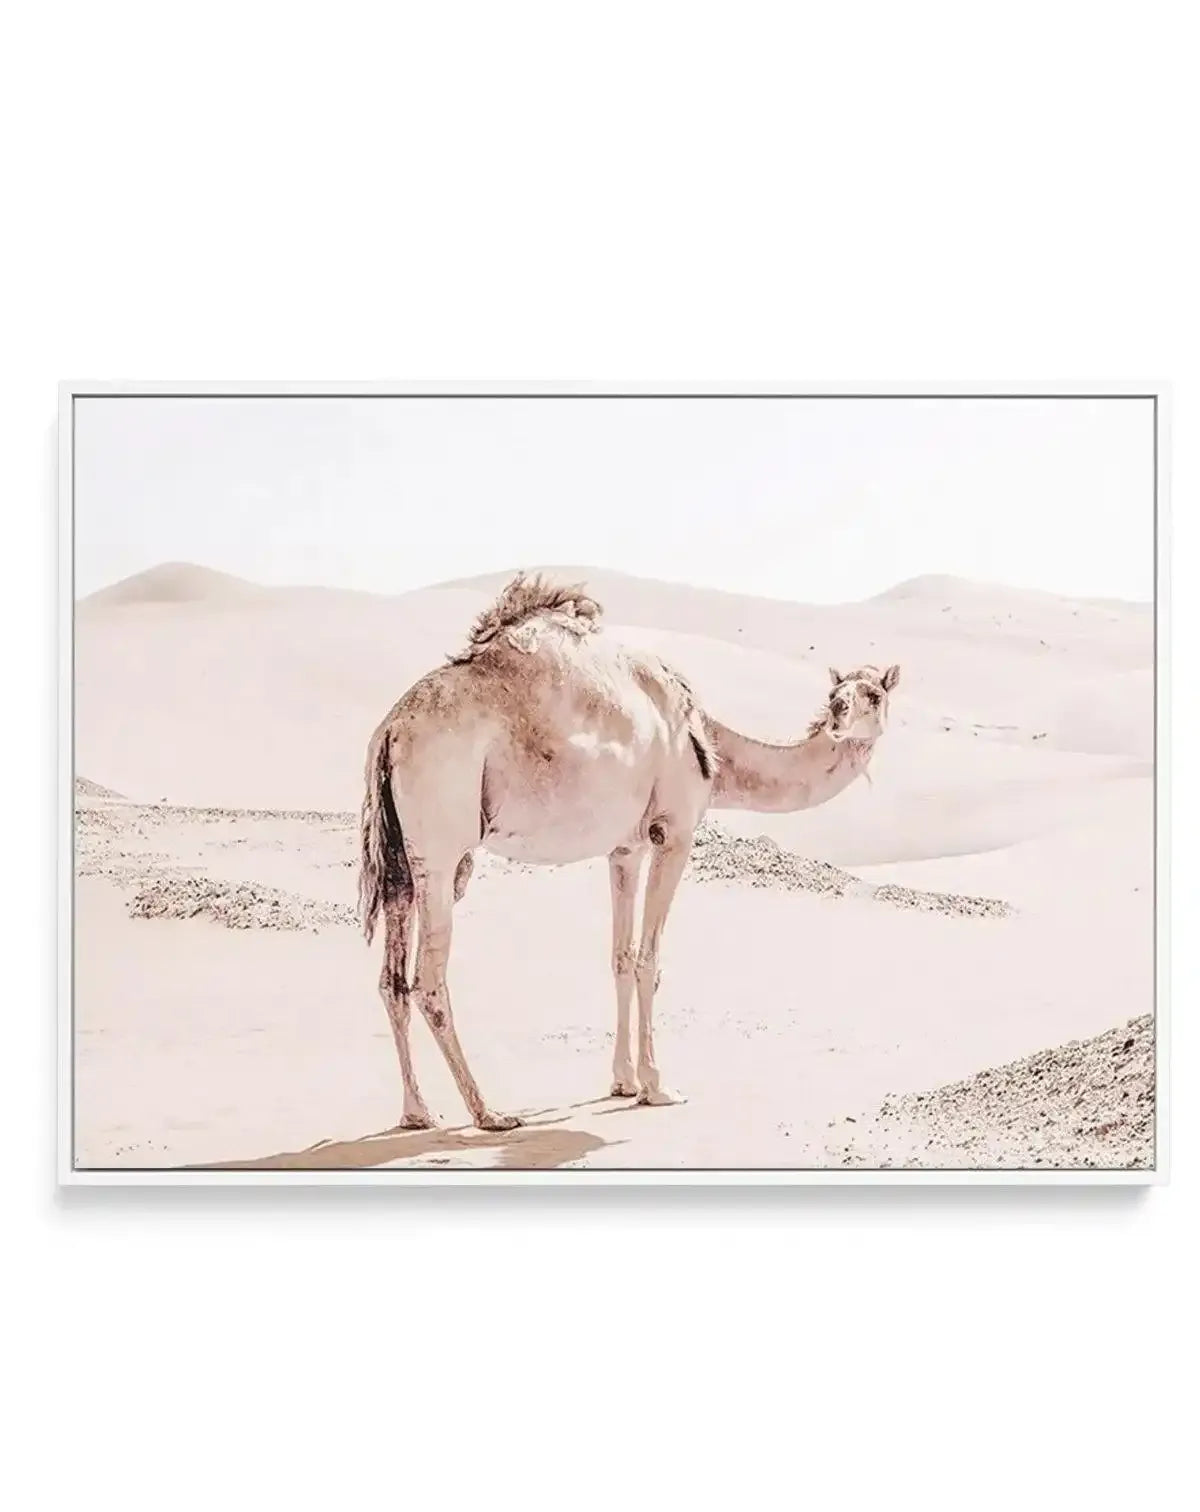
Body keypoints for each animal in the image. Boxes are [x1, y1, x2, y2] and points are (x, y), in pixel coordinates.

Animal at [359, 573, 899, 1132]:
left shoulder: (626, 848)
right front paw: (657, 1086)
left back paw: (419, 1112)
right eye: (839, 692)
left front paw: (622, 1081)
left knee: (391, 979)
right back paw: (489, 1112)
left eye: (872, 693)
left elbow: (620, 955)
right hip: (442, 847)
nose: (837, 715)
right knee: (428, 982)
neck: (711, 747)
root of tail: (390, 729)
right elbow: (649, 958)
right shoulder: (673, 834)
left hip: (401, 858)